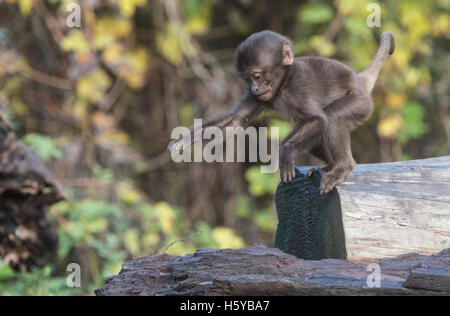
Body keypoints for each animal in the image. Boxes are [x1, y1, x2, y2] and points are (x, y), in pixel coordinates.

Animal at [168, 30, 394, 194]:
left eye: (257, 76)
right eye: (247, 79)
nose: (254, 88)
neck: (283, 82)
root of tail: (360, 81)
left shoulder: (297, 88)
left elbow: (318, 119)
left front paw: (285, 152)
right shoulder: (259, 98)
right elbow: (234, 120)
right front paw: (184, 140)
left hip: (361, 104)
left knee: (332, 118)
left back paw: (343, 167)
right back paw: (330, 165)